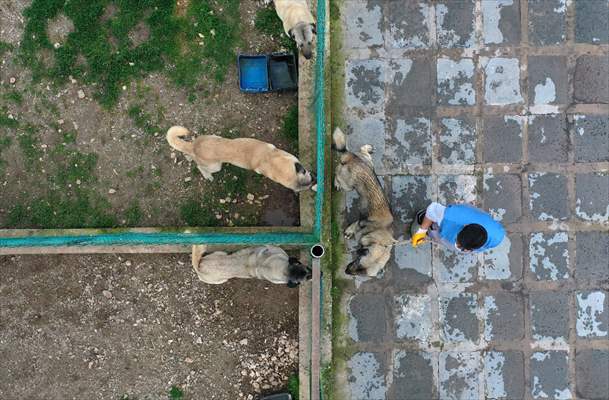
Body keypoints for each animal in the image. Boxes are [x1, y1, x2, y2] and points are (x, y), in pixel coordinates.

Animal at [167, 126, 316, 193]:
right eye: (299, 189)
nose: (312, 182)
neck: (269, 160)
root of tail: (194, 146)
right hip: (216, 166)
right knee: (200, 166)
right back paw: (207, 176)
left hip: (214, 137)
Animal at [332, 128, 394, 278]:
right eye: (358, 260)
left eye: (361, 275)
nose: (346, 272)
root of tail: (353, 158)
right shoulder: (361, 221)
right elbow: (354, 225)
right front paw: (350, 232)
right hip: (348, 185)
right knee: (337, 173)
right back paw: (337, 183)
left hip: (369, 163)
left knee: (361, 151)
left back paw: (368, 148)